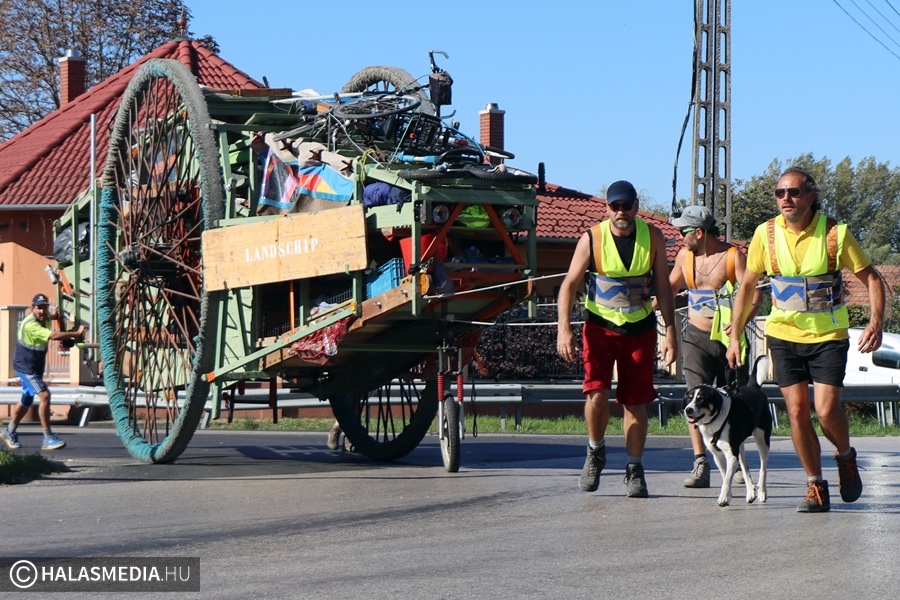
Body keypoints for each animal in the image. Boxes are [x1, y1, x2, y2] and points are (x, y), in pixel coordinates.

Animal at [684, 356, 772, 506]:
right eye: (689, 399)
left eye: (701, 399)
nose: (688, 410)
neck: (715, 418)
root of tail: (753, 387)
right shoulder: (717, 455)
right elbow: (726, 475)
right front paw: (728, 495)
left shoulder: (731, 455)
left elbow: (727, 479)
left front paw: (724, 498)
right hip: (740, 447)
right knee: (745, 467)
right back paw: (750, 493)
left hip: (762, 440)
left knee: (763, 468)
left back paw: (762, 492)